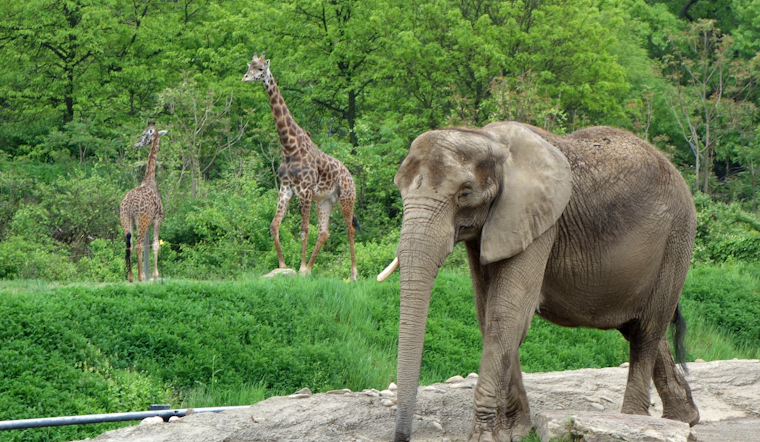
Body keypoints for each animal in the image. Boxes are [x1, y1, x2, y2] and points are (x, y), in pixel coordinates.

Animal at [380, 121, 700, 442]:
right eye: (400, 188)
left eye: (465, 193)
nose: (403, 436)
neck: (490, 140)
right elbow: (488, 314)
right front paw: (517, 431)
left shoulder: (539, 222)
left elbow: (506, 315)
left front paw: (484, 437)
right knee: (639, 328)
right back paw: (684, 419)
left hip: (676, 238)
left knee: (647, 331)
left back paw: (632, 421)